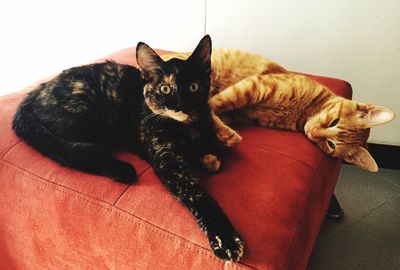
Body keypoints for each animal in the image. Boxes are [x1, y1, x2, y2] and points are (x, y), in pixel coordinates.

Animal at [12, 35, 244, 262]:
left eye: (194, 86)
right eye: (165, 88)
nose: (180, 106)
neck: (184, 127)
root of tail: (34, 93)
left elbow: (209, 144)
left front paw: (211, 151)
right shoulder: (170, 163)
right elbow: (199, 196)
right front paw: (226, 239)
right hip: (85, 117)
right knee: (70, 153)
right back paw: (121, 170)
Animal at [161, 49, 396, 171]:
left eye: (331, 144)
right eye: (334, 122)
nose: (313, 132)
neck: (302, 114)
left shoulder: (238, 112)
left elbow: (211, 119)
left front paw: (215, 142)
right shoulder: (255, 86)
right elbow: (212, 105)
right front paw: (222, 134)